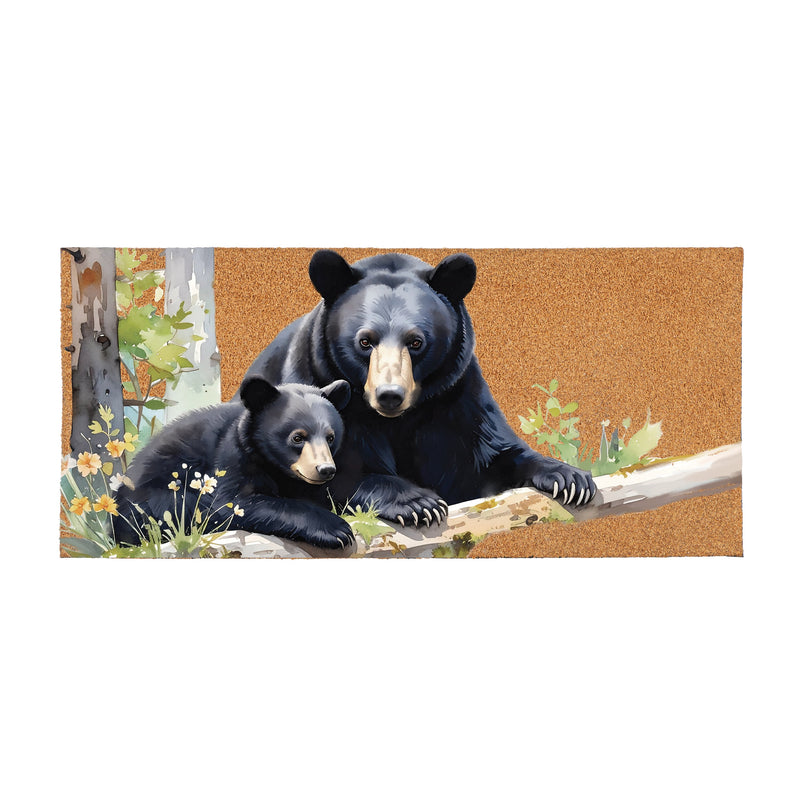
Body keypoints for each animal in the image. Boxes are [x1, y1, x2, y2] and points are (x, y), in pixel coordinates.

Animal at [113, 376, 356, 556]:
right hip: (151, 499)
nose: (325, 469)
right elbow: (232, 503)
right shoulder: (232, 455)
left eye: (330, 437)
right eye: (297, 437)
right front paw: (337, 529)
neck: (276, 468)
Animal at [236, 249, 597, 528]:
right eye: (365, 341)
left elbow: (489, 457)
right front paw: (416, 502)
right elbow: (333, 472)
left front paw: (569, 478)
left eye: (416, 342)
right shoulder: (321, 389)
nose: (389, 395)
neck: (401, 419)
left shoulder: (457, 400)